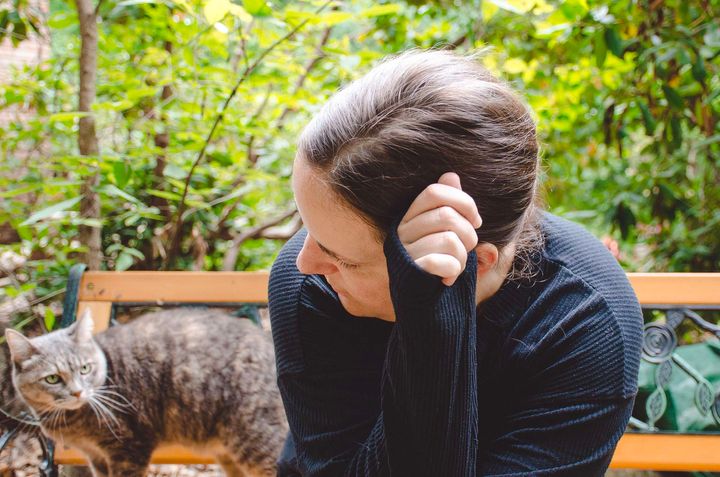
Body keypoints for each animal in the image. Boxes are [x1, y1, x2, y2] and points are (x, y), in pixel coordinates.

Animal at [4, 308, 290, 476]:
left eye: (85, 368)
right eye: (52, 378)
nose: (77, 393)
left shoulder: (129, 448)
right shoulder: (96, 456)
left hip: (257, 440)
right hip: (229, 455)